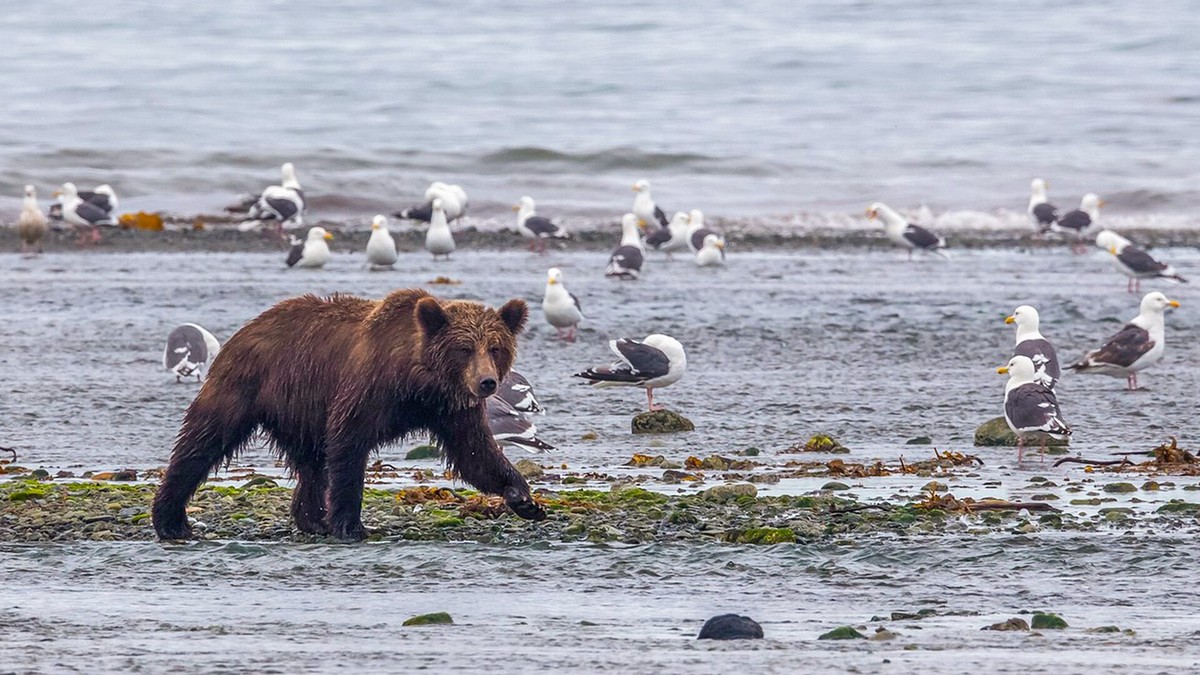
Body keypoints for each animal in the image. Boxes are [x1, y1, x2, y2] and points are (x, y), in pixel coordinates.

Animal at [152, 285, 547, 538]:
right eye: (464, 348)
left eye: (495, 347)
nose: (487, 382)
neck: (416, 381)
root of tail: (248, 326)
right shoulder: (367, 388)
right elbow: (348, 444)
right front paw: (351, 524)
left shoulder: (450, 408)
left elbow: (475, 452)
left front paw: (524, 499)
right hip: (246, 383)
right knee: (204, 439)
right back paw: (171, 520)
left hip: (301, 407)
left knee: (311, 463)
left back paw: (312, 519)